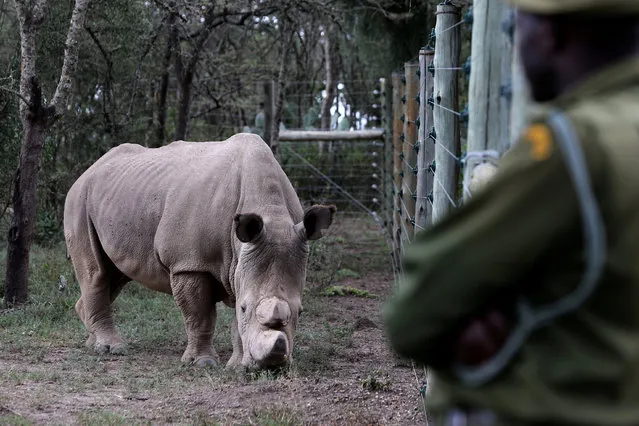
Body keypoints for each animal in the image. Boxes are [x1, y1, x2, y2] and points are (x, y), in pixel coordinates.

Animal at [62, 133, 338, 370]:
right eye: (245, 308)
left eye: (301, 312)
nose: (271, 367)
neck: (270, 212)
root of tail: (89, 169)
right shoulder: (190, 263)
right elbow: (200, 315)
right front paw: (202, 363)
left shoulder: (241, 260)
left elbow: (236, 322)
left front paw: (236, 366)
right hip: (79, 198)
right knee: (96, 273)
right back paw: (112, 349)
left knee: (115, 276)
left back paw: (92, 342)